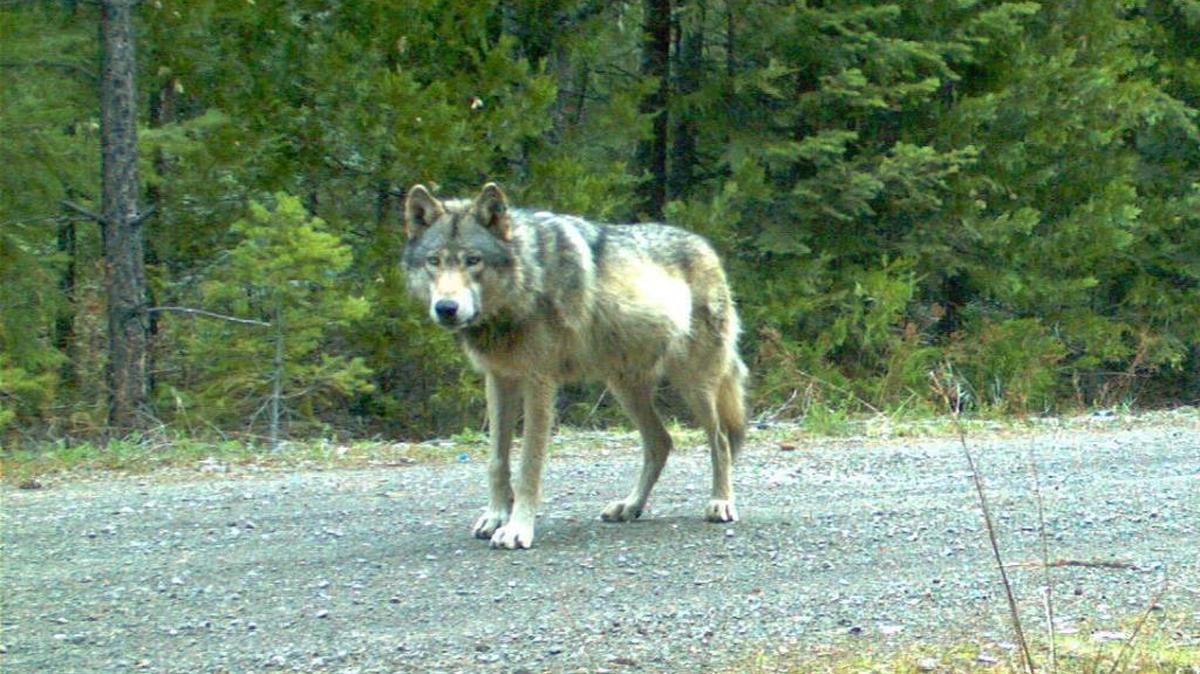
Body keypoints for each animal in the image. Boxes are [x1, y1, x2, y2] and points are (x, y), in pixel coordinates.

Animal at [403, 182, 748, 549]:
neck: (526, 280)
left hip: (694, 384)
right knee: (661, 442)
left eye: (473, 260)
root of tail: (707, 247)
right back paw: (630, 506)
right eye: (434, 261)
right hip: (624, 387)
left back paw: (721, 502)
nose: (446, 308)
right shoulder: (498, 380)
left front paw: (517, 529)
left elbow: (528, 467)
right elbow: (497, 461)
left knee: (721, 439)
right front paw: (495, 516)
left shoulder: (539, 383)